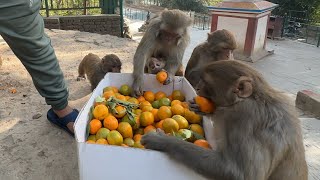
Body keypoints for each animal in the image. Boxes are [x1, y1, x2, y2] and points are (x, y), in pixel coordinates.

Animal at [142, 60, 308, 180]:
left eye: (206, 82)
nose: (197, 87)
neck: (255, 97)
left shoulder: (244, 116)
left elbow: (238, 173)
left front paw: (162, 140)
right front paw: (202, 109)